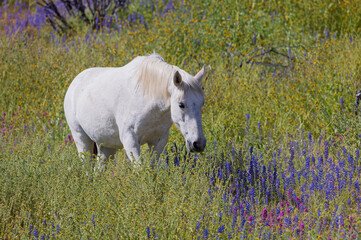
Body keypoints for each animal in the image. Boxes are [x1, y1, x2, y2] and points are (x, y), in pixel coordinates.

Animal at [63, 53, 207, 164]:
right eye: (181, 104)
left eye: (202, 103)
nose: (198, 144)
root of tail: (74, 83)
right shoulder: (130, 140)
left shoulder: (158, 141)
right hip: (81, 139)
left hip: (106, 146)